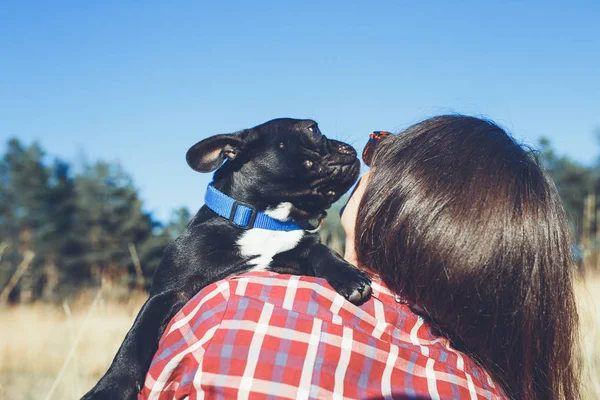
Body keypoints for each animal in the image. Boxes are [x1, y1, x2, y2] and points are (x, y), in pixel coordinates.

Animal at [82, 119, 372, 400]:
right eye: (313, 128)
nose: (347, 145)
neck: (260, 219)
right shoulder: (166, 294)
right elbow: (135, 338)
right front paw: (109, 388)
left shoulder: (292, 259)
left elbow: (318, 250)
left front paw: (349, 275)